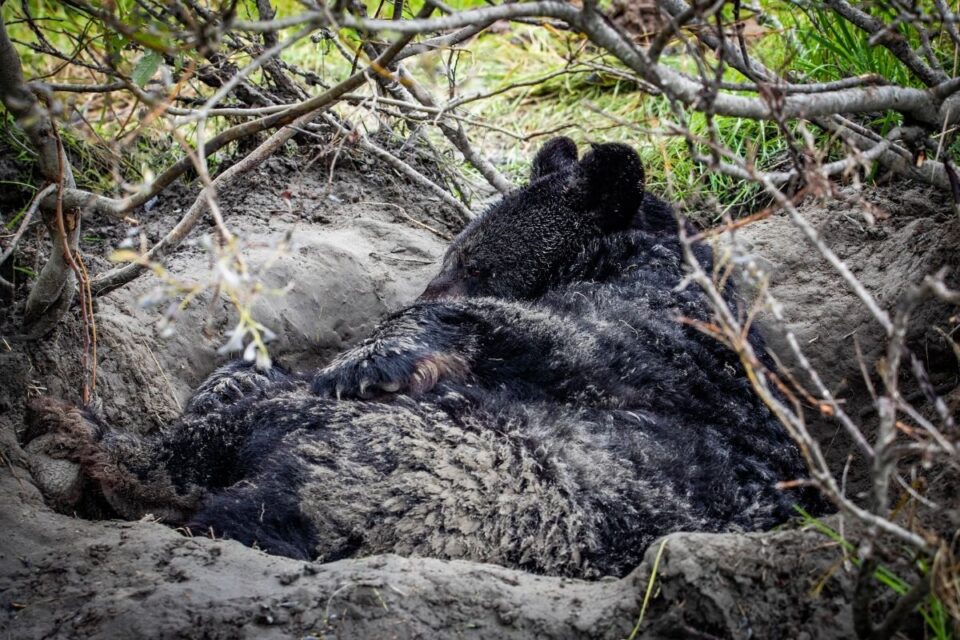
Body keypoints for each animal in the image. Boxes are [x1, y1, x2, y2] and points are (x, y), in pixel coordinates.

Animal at [23, 138, 825, 579]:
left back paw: (94, 435)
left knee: (249, 446)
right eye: (452, 249)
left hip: (429, 471)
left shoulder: (658, 337)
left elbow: (555, 337)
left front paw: (364, 357)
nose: (428, 279)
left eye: (469, 260)